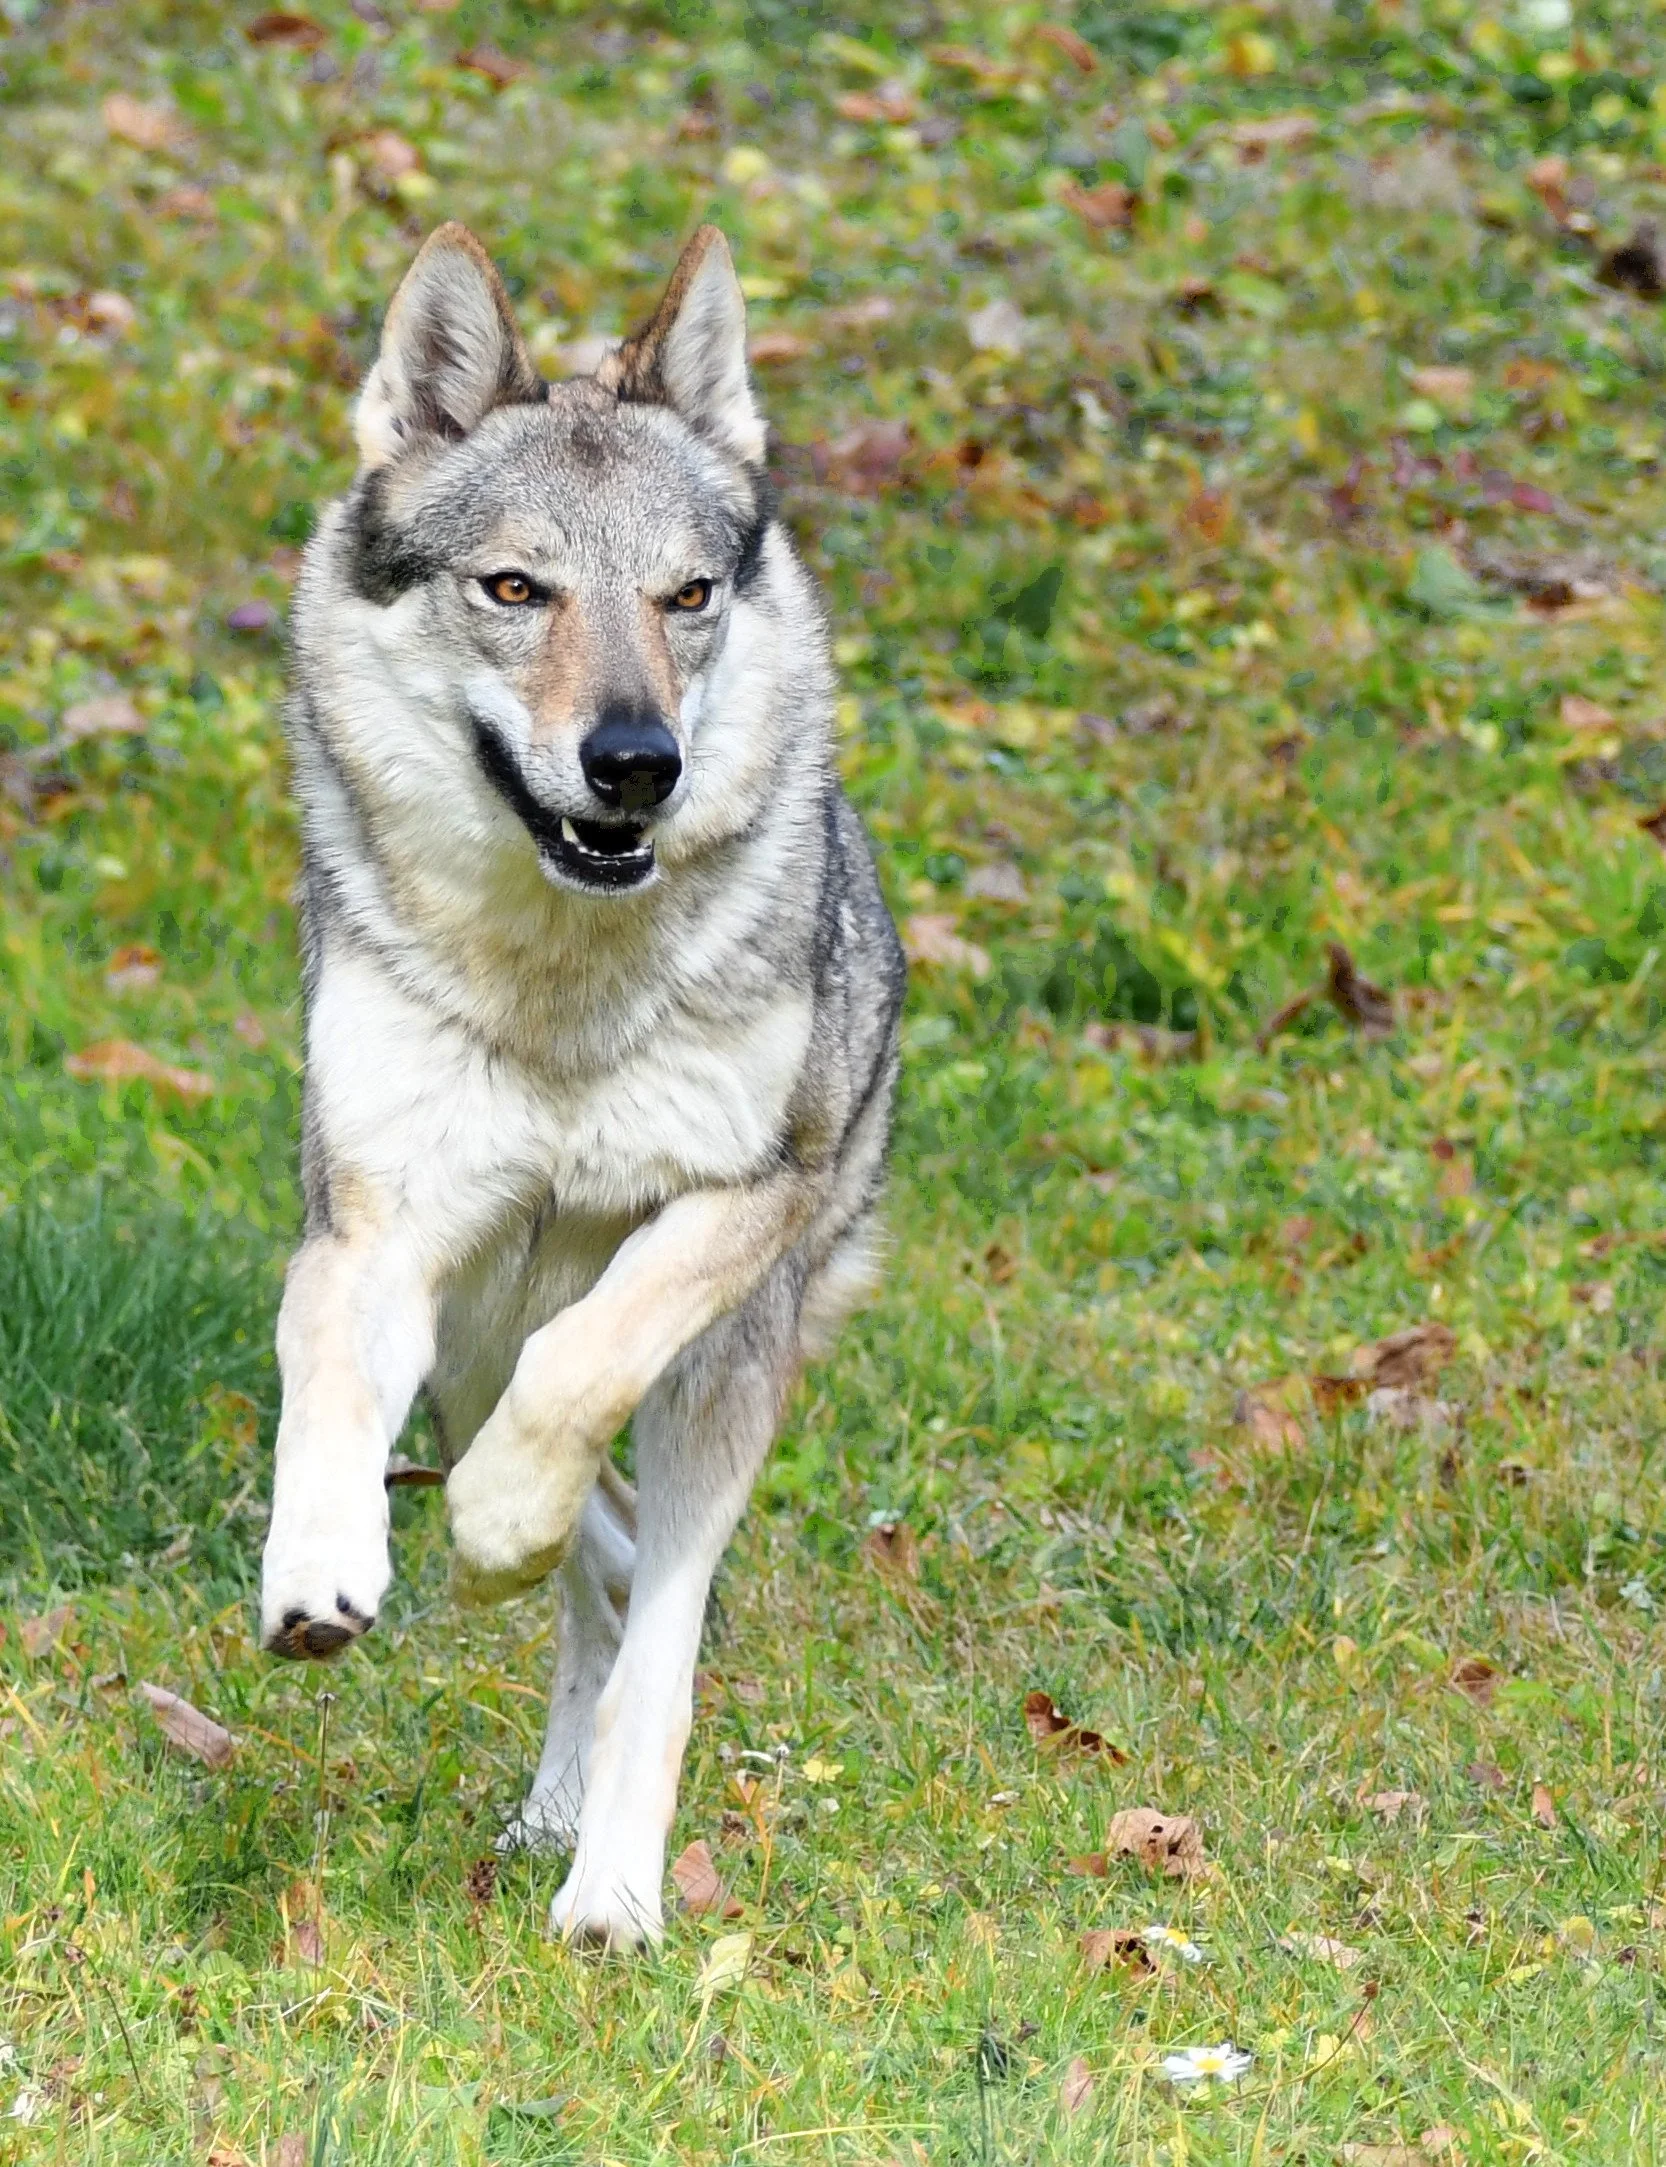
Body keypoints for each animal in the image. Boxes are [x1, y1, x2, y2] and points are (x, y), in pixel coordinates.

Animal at [257, 220, 904, 1947]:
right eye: (513, 587)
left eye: (684, 595)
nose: (634, 763)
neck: (559, 991)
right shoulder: (374, 1230)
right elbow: (323, 1387)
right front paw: (316, 1570)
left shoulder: (744, 1199)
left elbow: (577, 1386)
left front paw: (486, 1526)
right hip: (471, 1328)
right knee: (599, 1573)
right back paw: (549, 1799)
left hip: (721, 1368)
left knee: (656, 1614)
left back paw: (608, 1884)